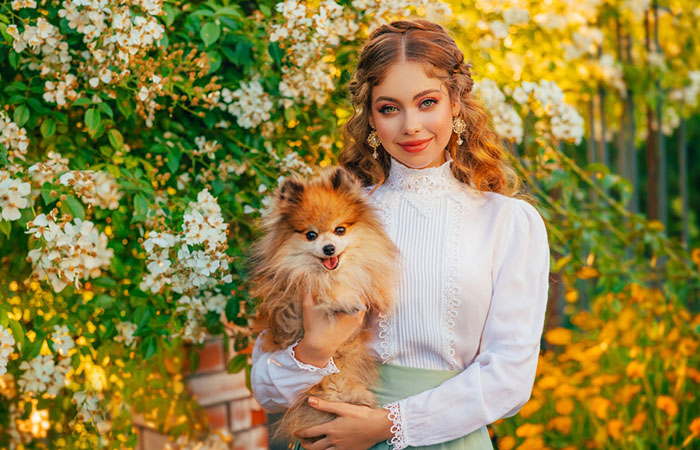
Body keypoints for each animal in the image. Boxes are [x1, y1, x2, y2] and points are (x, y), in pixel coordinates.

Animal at [249, 166, 396, 442]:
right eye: (311, 235)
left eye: (340, 230)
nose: (329, 248)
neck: (332, 273)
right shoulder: (296, 295)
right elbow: (326, 294)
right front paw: (346, 299)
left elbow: (371, 277)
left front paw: (384, 296)